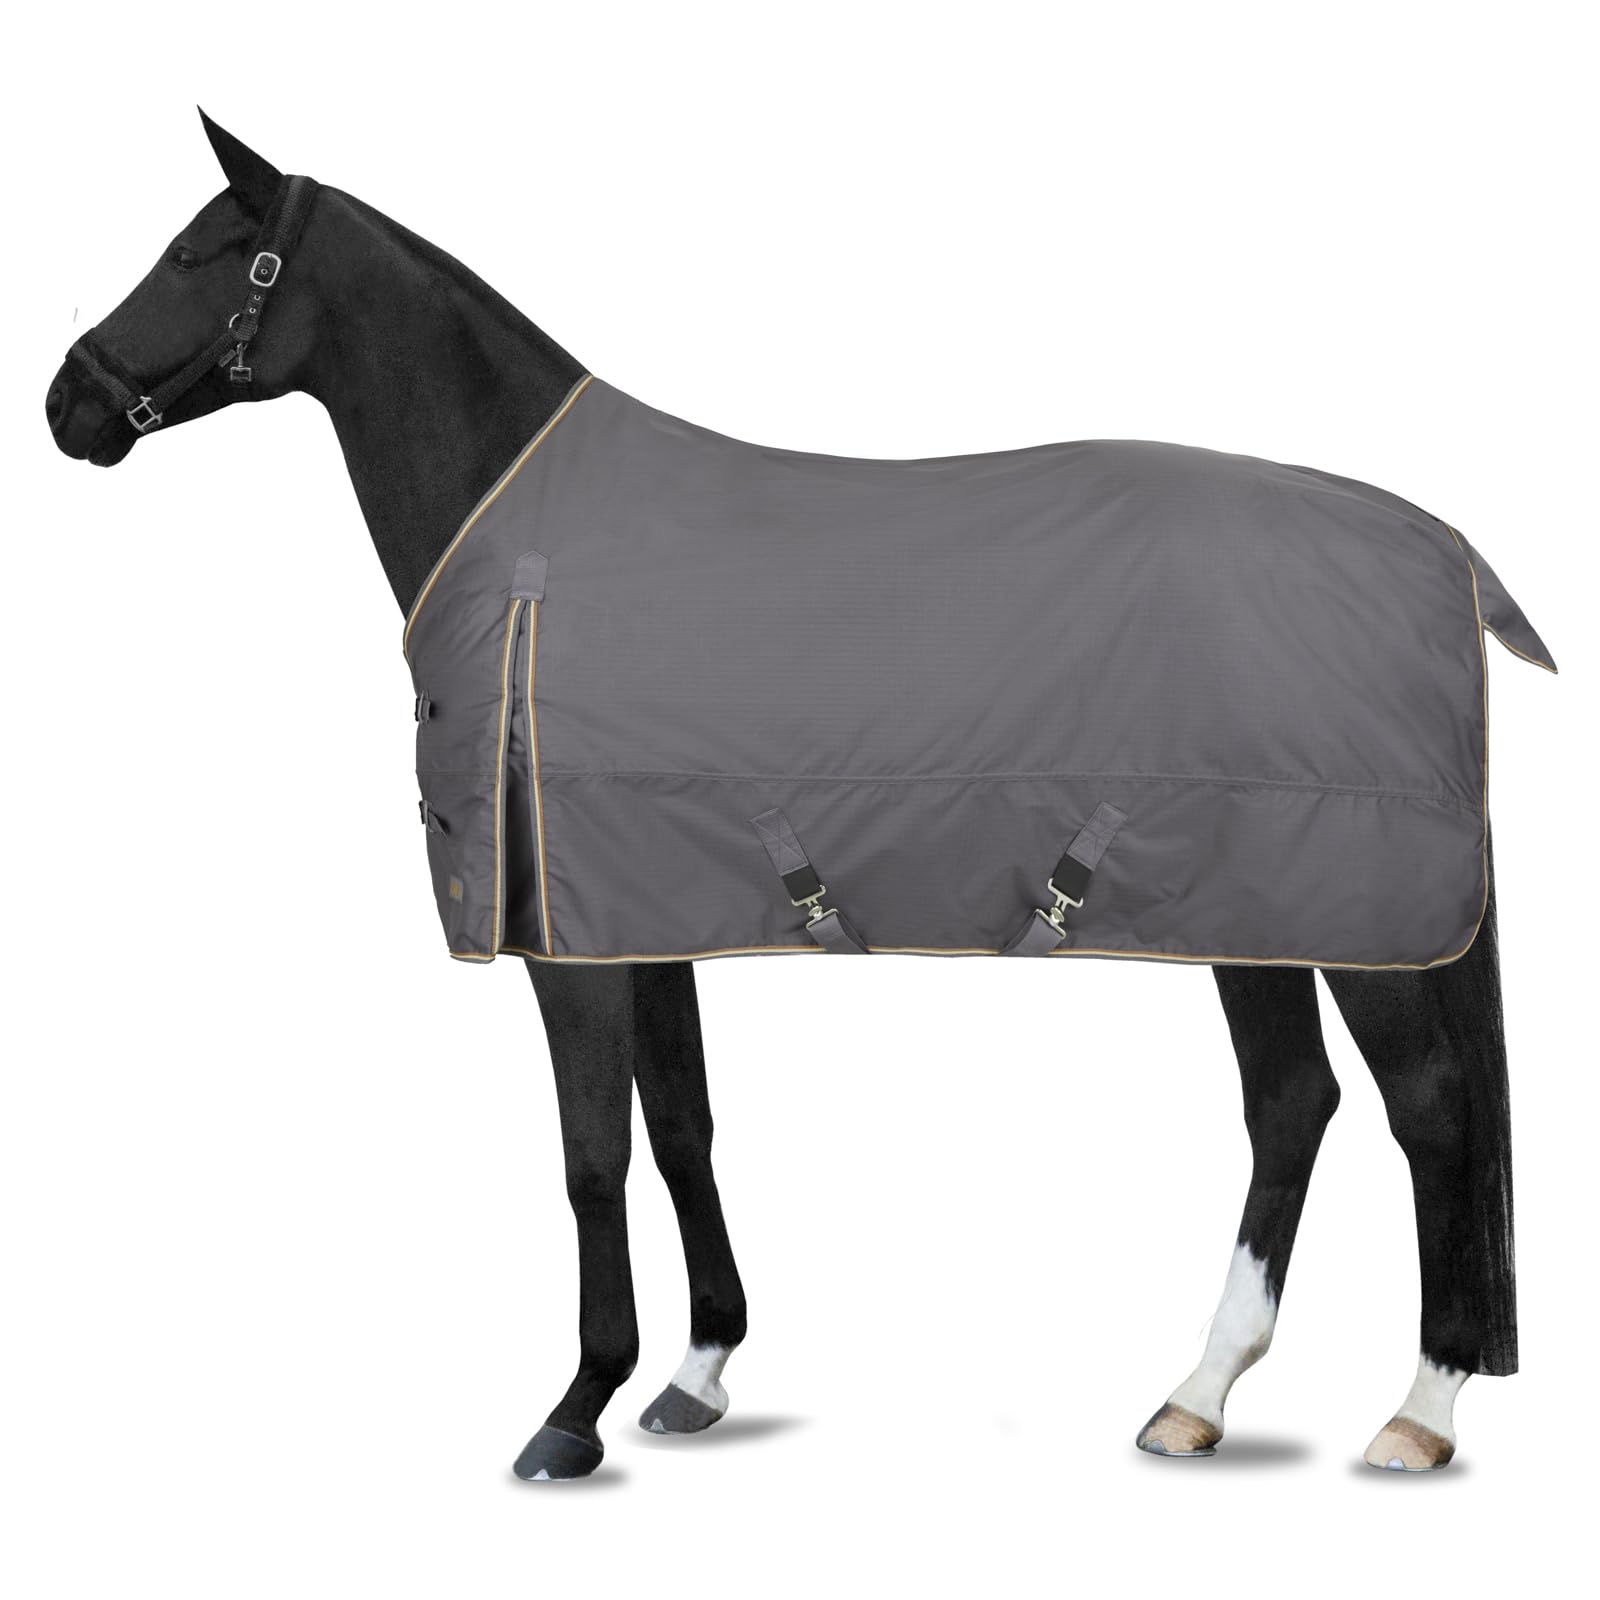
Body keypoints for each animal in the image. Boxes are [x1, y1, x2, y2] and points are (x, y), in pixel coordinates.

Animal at [44, 112, 1548, 1480]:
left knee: (1429, 1112)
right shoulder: (636, 911)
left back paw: (1418, 1412)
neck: (531, 545)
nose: (67, 404)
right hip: (1258, 907)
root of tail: (1444, 548)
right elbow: (681, 1128)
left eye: (196, 254)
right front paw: (695, 1372)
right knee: (1292, 1103)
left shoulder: (568, 947)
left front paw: (573, 1410)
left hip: (1360, 921)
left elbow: (592, 1156)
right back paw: (1196, 1396)